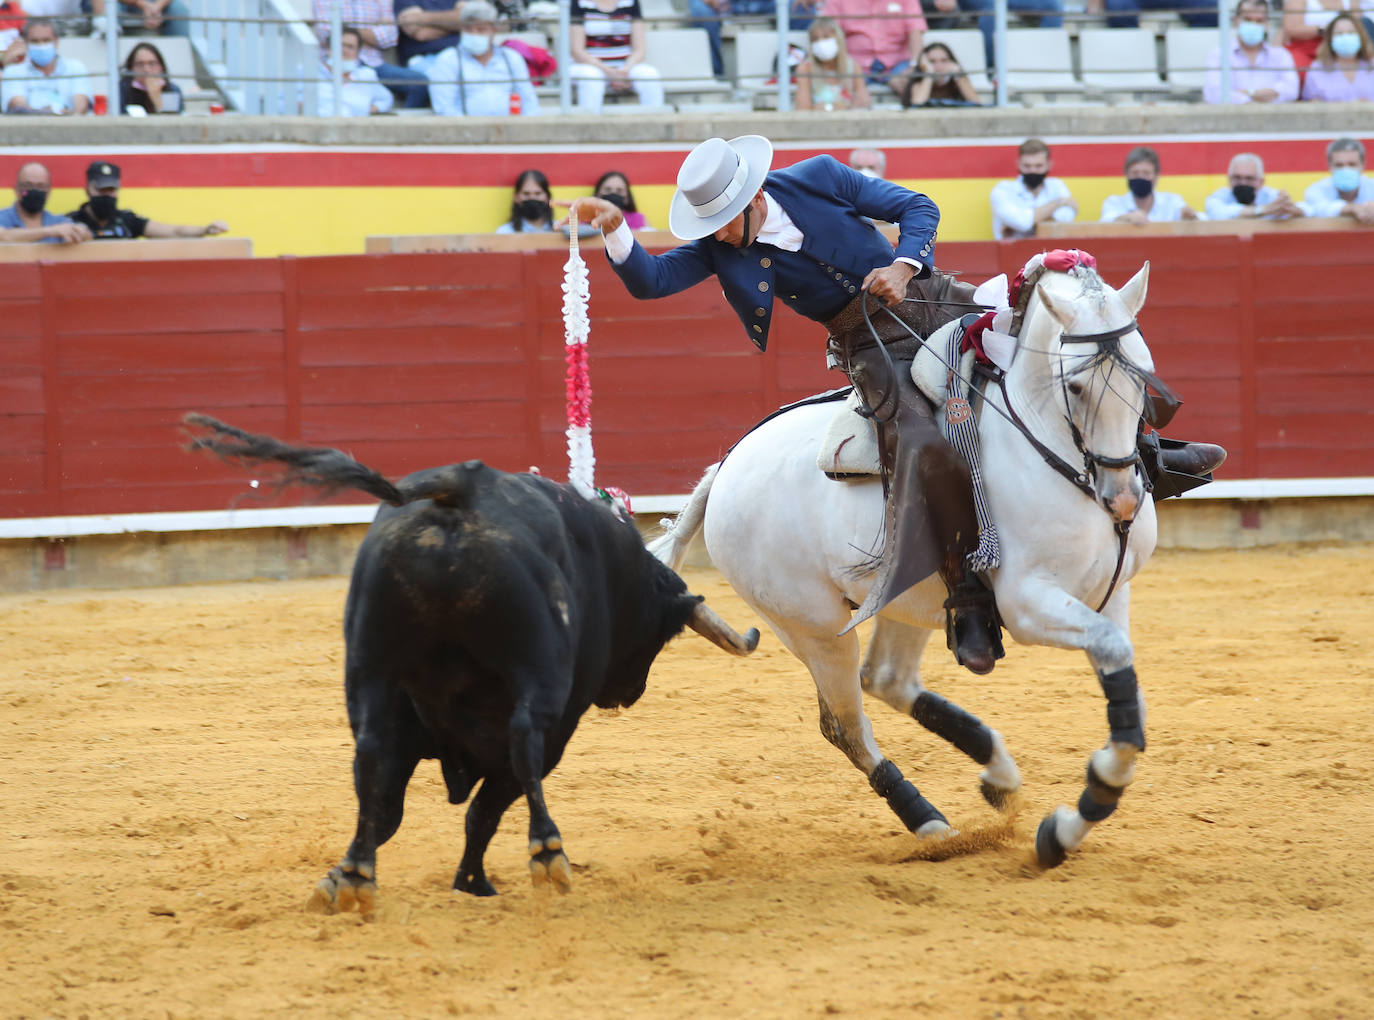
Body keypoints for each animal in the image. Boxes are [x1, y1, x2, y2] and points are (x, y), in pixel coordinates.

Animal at [186, 412, 758, 907]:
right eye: (661, 636)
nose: (629, 692)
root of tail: (459, 491)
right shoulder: (556, 727)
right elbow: (488, 804)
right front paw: (474, 882)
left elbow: (391, 807)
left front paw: (344, 876)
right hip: (539, 684)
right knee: (518, 750)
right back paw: (548, 853)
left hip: (368, 668)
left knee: (370, 758)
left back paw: (355, 875)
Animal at [651, 259, 1159, 868]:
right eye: (1077, 384)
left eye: (1144, 377)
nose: (1122, 499)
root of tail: (727, 465)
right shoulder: (1028, 603)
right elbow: (1114, 662)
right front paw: (1071, 820)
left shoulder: (1113, 593)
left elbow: (1125, 682)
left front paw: (1065, 827)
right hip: (812, 628)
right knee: (845, 724)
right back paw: (930, 822)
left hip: (908, 595)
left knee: (887, 678)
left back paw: (998, 778)